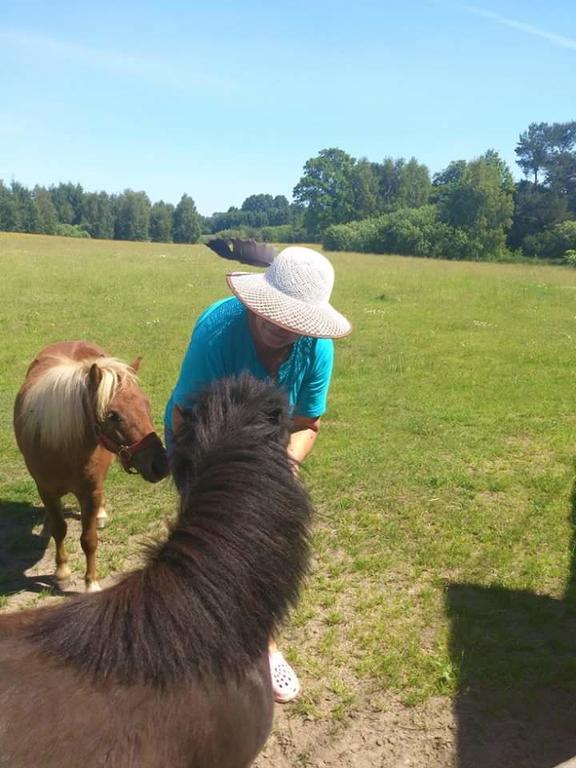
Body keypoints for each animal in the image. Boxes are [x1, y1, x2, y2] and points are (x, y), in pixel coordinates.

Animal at [12, 340, 169, 592]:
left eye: (146, 405)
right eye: (112, 415)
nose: (161, 465)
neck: (64, 449)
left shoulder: (91, 492)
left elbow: (89, 539)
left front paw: (91, 583)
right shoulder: (46, 490)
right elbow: (59, 529)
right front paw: (63, 573)